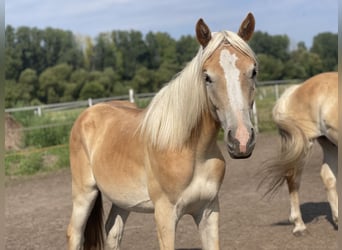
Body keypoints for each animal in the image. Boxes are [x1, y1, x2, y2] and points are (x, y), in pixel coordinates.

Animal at [67, 13, 258, 250]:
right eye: (207, 77)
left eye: (253, 71)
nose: (241, 140)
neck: (191, 151)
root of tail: (88, 113)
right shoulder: (165, 215)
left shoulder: (208, 211)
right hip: (84, 193)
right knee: (75, 233)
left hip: (122, 200)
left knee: (113, 231)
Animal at [260, 71, 338, 235]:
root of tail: (296, 89)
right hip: (304, 145)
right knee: (292, 179)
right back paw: (299, 225)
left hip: (330, 144)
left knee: (328, 177)